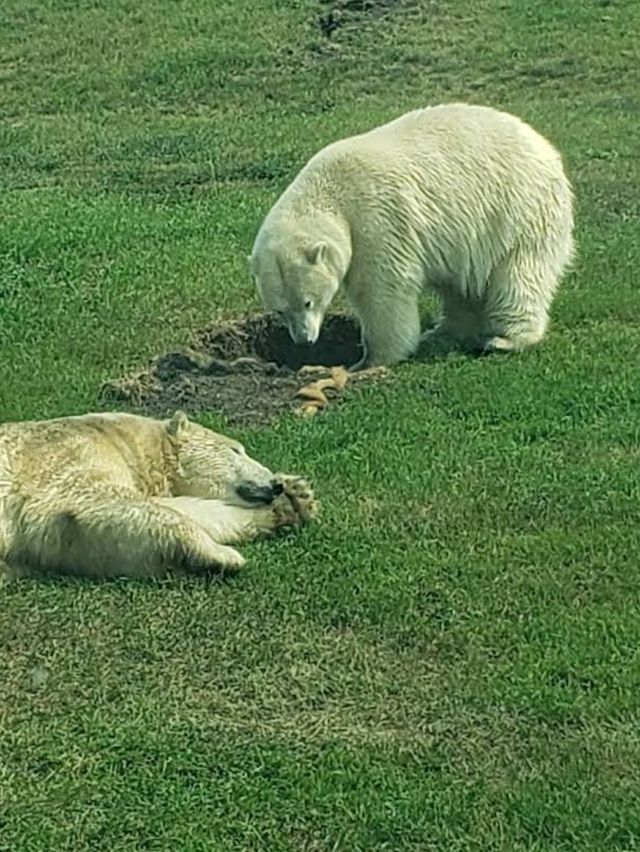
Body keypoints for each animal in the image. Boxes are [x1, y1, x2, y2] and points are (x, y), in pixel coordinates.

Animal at [0, 408, 316, 580]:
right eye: (236, 449)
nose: (275, 483)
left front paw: (296, 499)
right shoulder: (66, 455)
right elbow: (90, 499)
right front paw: (222, 555)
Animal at [249, 101, 576, 368]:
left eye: (308, 302)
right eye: (279, 310)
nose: (304, 340)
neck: (331, 192)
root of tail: (545, 147)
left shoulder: (375, 219)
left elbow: (383, 290)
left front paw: (370, 360)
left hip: (519, 210)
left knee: (520, 274)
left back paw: (505, 340)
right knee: (461, 285)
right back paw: (443, 332)